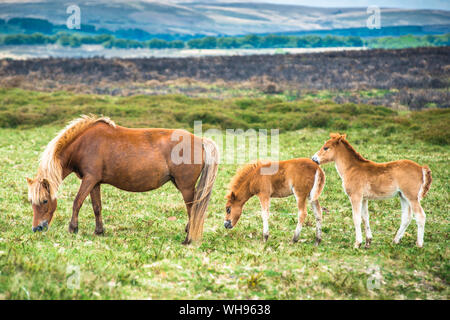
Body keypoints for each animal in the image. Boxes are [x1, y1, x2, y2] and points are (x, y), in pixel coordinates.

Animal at [26, 116, 220, 244]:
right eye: (31, 202)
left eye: (44, 201)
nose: (37, 228)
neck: (84, 143)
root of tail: (200, 140)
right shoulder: (95, 183)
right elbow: (96, 207)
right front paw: (99, 231)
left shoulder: (88, 180)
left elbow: (77, 202)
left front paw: (73, 228)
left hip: (186, 187)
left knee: (193, 210)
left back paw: (188, 239)